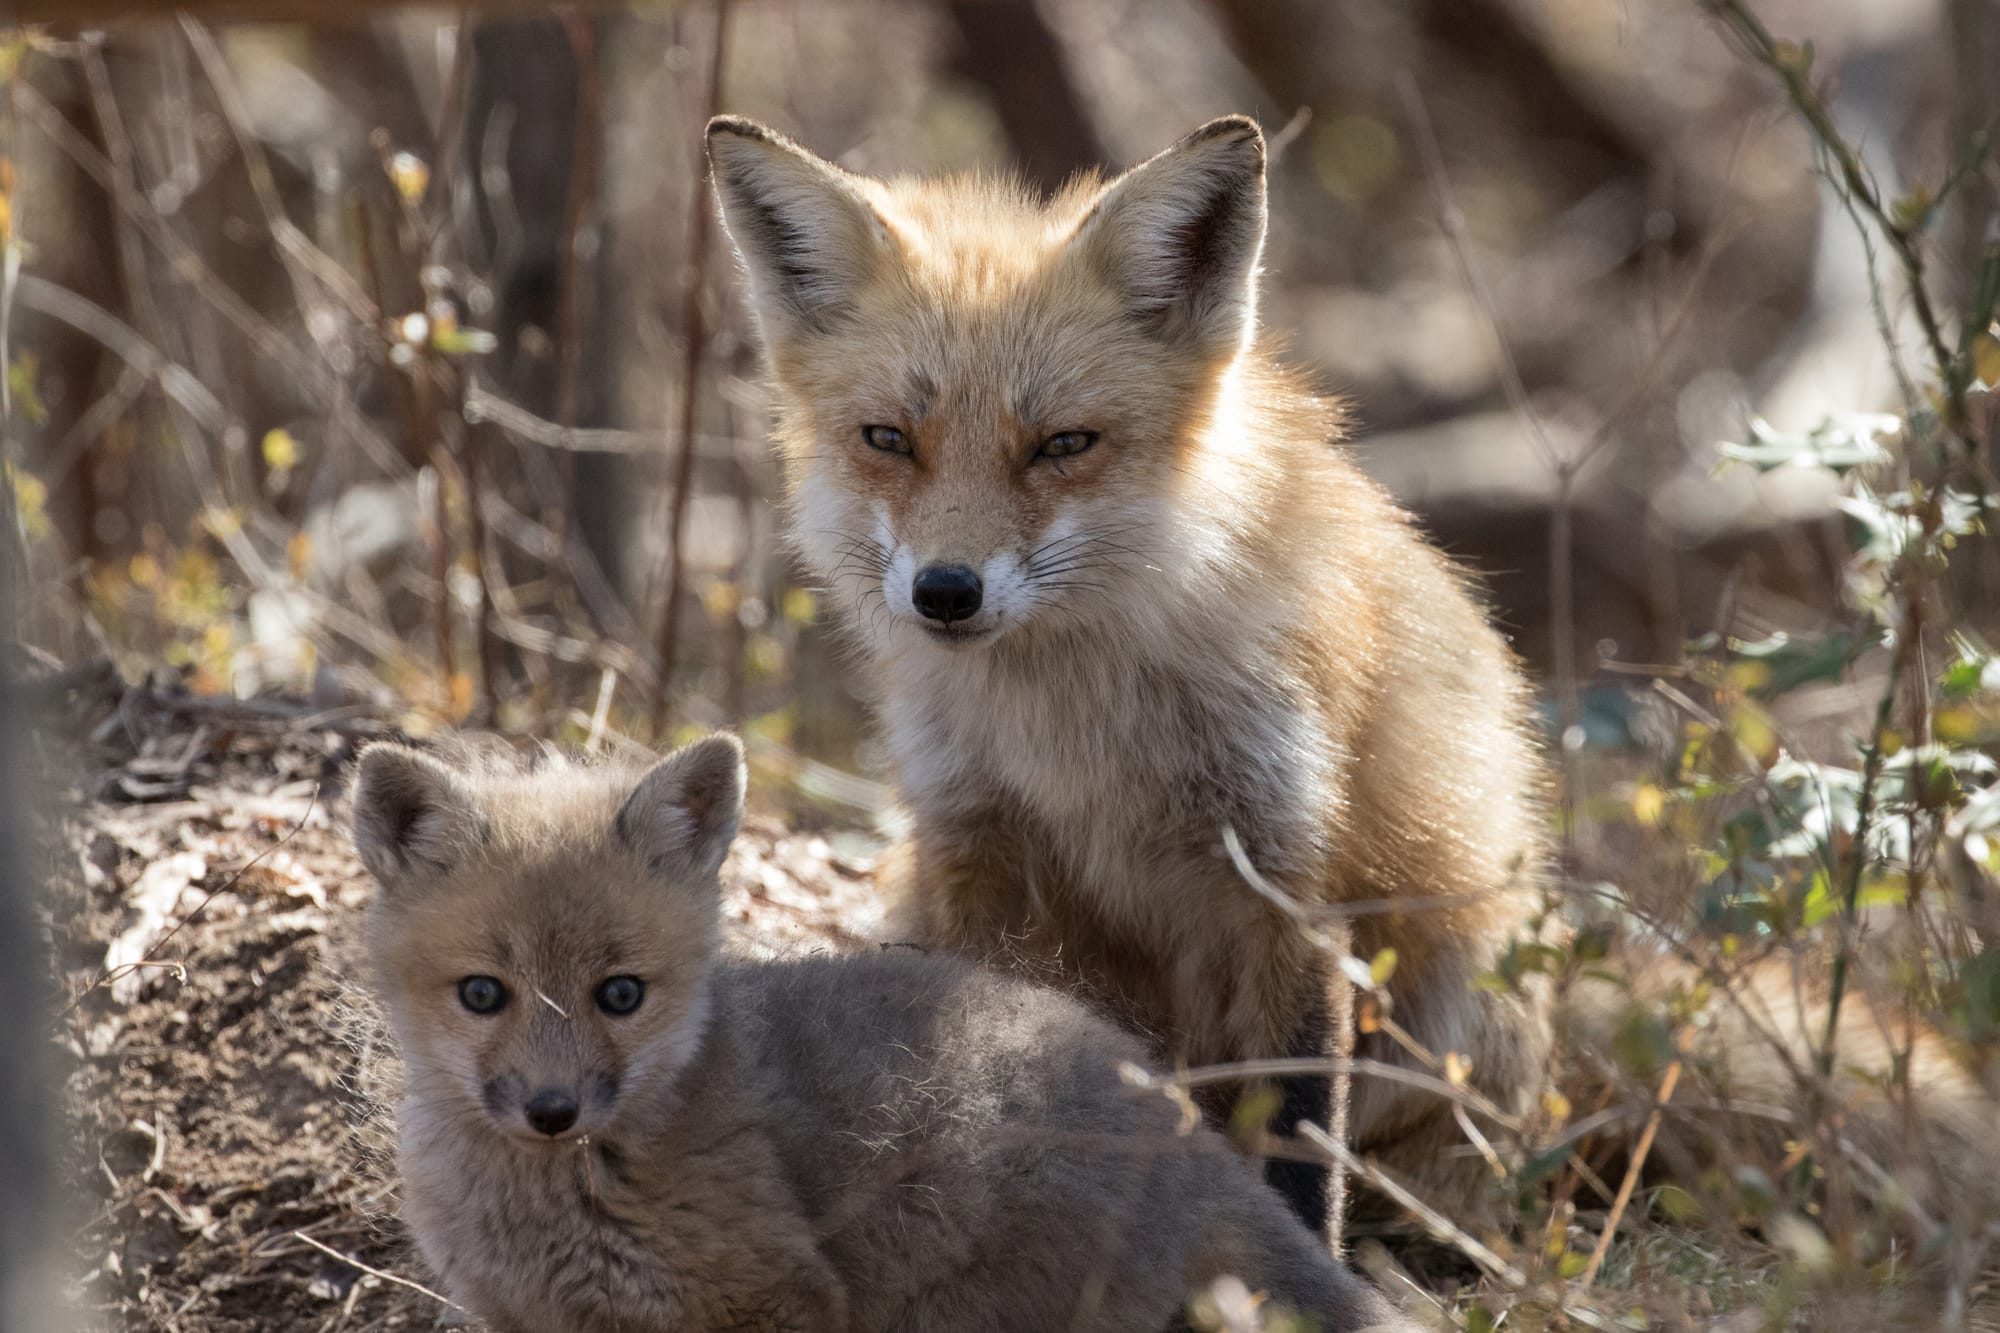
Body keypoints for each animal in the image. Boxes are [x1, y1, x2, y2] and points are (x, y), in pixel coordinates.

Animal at [353, 733, 1420, 1333]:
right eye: (483, 994)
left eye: (620, 994)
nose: (552, 1109)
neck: (551, 1206)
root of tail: (1175, 1119)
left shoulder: (775, 1298)